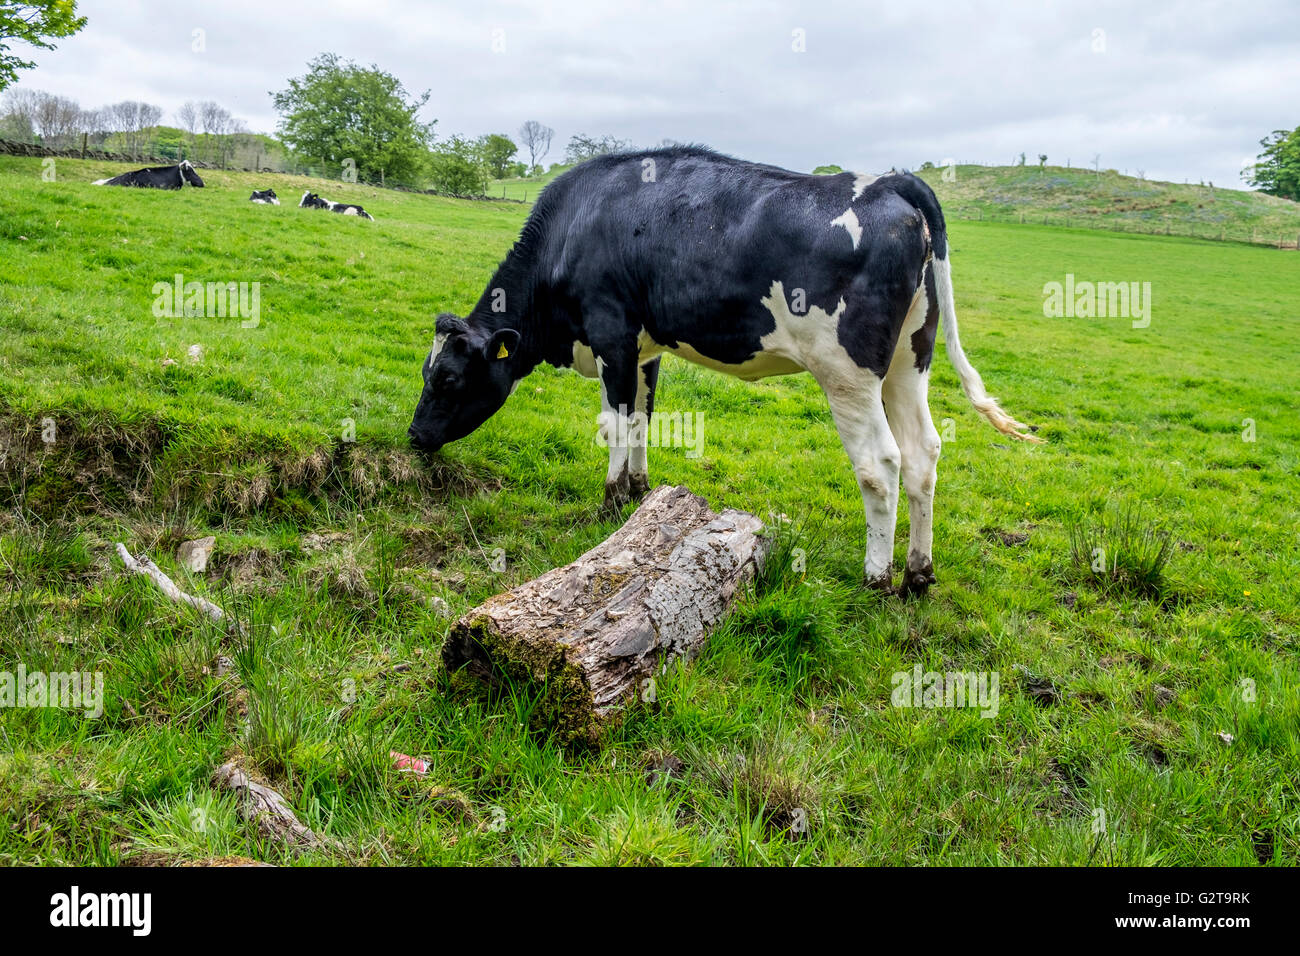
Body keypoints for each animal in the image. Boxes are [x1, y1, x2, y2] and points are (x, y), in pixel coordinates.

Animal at [408, 146, 1042, 596]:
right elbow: (642, 421)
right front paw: (639, 492)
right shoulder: (646, 349)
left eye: (448, 379)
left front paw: (610, 502)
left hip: (848, 373)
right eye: (425, 372)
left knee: (880, 464)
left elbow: (615, 424)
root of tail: (891, 181)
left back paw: (877, 577)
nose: (414, 436)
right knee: (923, 455)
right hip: (910, 362)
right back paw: (917, 573)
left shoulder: (612, 335)